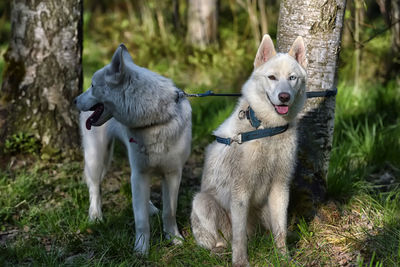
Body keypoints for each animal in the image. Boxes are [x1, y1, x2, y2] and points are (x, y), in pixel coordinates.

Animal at [77, 44, 194, 255]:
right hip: (97, 157)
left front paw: (174, 238)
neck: (154, 121)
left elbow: (169, 211)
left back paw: (150, 208)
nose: (74, 101)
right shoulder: (140, 173)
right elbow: (141, 220)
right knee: (94, 187)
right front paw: (141, 249)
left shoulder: (172, 174)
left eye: (92, 86)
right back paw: (95, 216)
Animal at [191, 34, 306, 266]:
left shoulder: (280, 187)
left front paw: (284, 257)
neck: (267, 129)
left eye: (292, 78)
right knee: (222, 239)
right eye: (272, 77)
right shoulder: (240, 193)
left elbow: (280, 230)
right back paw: (218, 250)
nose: (284, 97)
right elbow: (239, 237)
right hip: (202, 202)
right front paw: (241, 262)